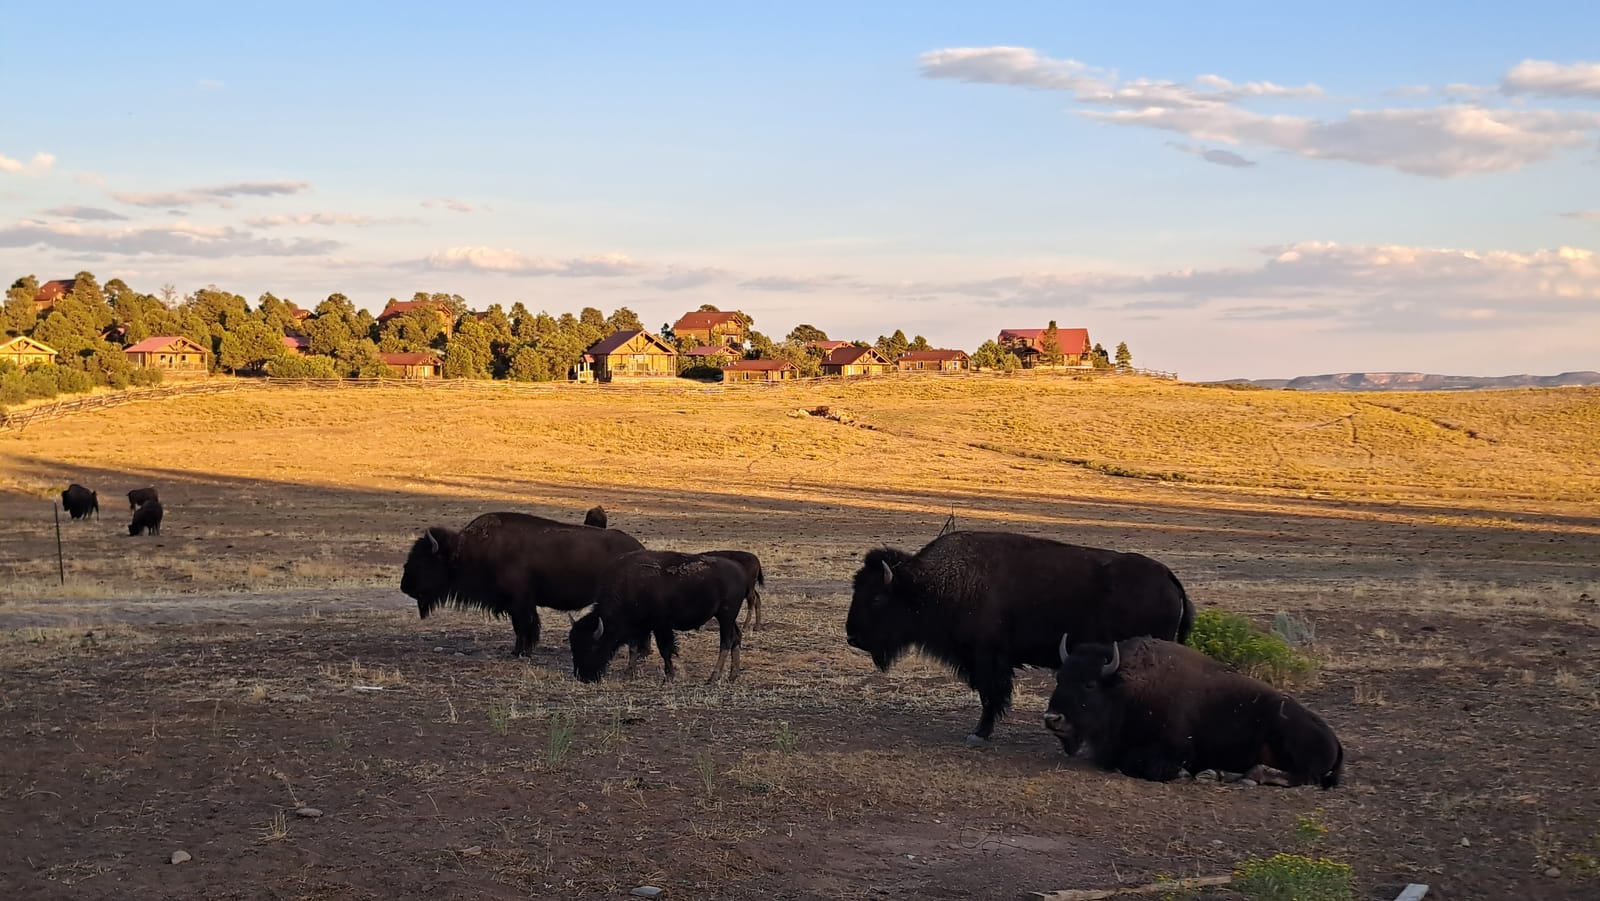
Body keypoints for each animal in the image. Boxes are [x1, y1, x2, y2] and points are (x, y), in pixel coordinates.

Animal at [401, 511, 645, 657]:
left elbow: (524, 626)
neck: (467, 550)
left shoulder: (520, 603)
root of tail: (638, 548)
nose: (404, 586)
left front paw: (520, 652)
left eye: (423, 560)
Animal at [569, 550, 748, 683]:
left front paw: (668, 677)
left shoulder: (661, 626)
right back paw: (732, 676)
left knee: (726, 641)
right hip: (728, 618)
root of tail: (740, 571)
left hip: (726, 615)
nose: (582, 676)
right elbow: (633, 648)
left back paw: (713, 677)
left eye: (593, 646)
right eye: (573, 646)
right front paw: (629, 673)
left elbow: (665, 649)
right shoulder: (639, 628)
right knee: (736, 637)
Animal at [845, 530, 1194, 747]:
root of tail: (1169, 578)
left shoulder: (988, 659)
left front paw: (979, 734)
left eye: (877, 597)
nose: (852, 637)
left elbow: (990, 696)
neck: (928, 584)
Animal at [1044, 637, 1343, 788]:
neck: (1125, 688)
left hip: (1289, 738)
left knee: (1301, 776)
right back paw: (1223, 774)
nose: (1052, 719)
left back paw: (1247, 776)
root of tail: (1334, 740)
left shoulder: (1175, 749)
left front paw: (1184, 774)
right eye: (1060, 678)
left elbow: (1139, 763)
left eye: (1090, 684)